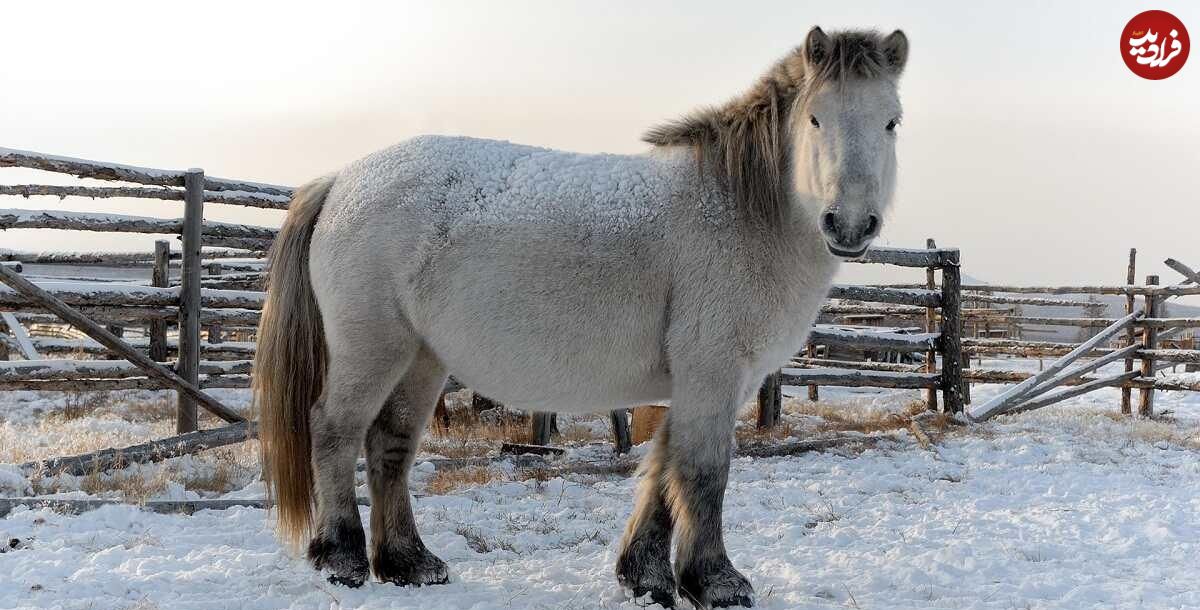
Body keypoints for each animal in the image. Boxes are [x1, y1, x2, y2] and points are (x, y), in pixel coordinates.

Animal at [255, 26, 907, 607]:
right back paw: (340, 558)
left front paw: (646, 578)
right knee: (335, 431)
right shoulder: (714, 373)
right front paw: (716, 583)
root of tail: (342, 180)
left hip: (422, 357)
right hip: (373, 348)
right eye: (815, 118)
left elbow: (663, 470)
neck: (739, 211)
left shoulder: (702, 382)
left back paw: (410, 563)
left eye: (891, 120)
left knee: (390, 443)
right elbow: (701, 472)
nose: (849, 225)